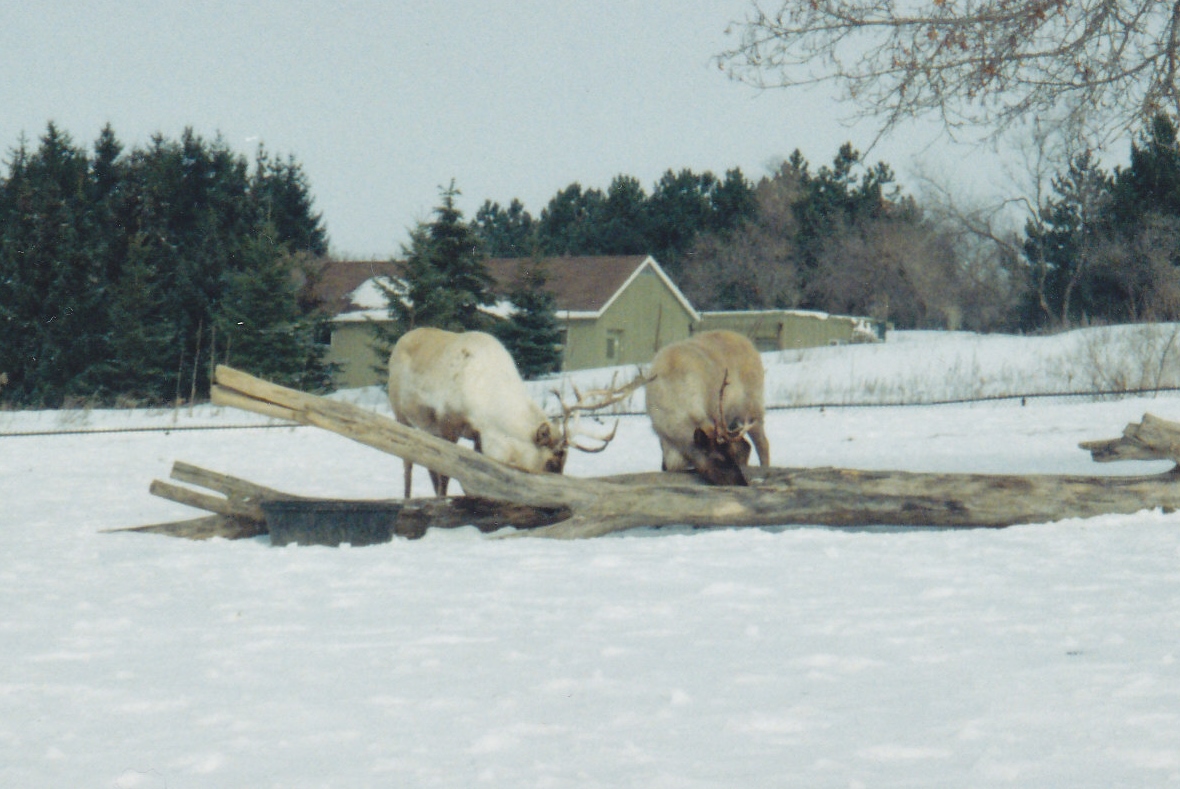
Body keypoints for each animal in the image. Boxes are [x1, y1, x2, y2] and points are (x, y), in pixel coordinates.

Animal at [388, 327, 641, 497]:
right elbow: (445, 474)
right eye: (551, 462)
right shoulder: (447, 425)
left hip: (426, 427)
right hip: (401, 413)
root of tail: (401, 339)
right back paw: (407, 499)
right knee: (408, 462)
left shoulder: (479, 436)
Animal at [645, 330, 770, 486]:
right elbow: (668, 467)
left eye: (731, 454)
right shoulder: (662, 436)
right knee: (747, 445)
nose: (743, 483)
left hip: (752, 409)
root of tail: (750, 344)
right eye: (718, 459)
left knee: (762, 444)